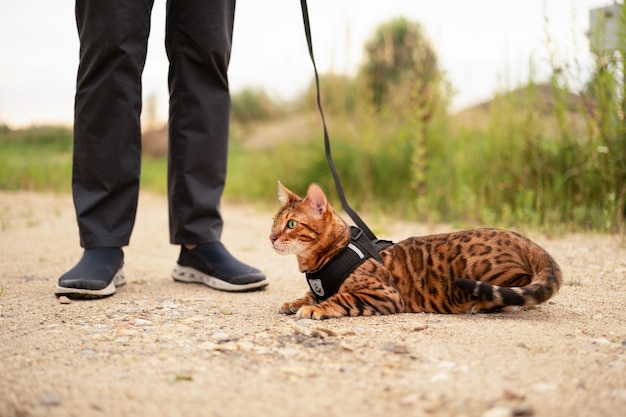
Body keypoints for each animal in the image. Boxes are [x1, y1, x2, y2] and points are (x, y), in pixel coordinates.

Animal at [268, 181, 560, 318]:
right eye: (274, 221)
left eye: (291, 224)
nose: (271, 237)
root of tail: (520, 237)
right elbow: (309, 294)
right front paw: (295, 302)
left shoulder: (384, 294)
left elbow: (340, 298)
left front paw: (315, 308)